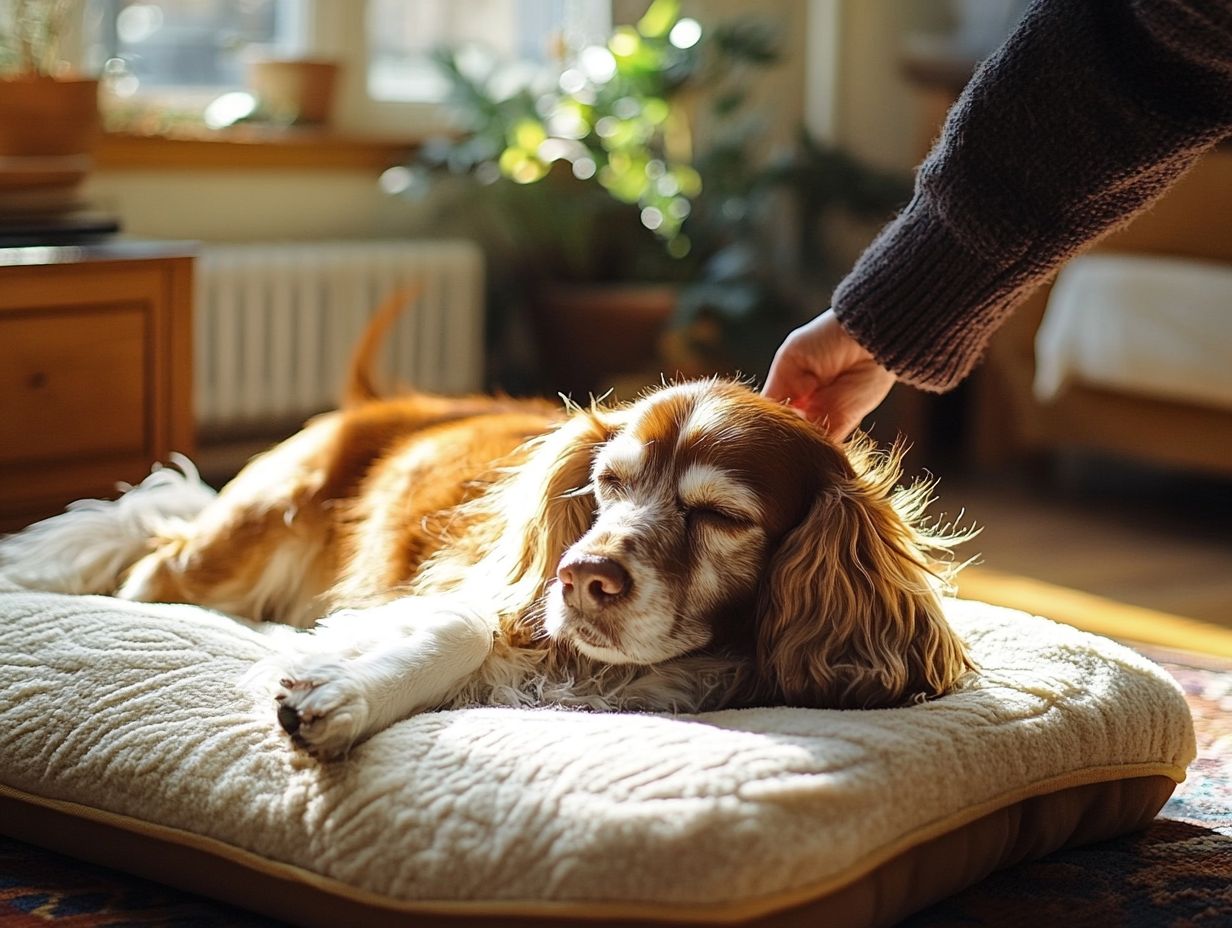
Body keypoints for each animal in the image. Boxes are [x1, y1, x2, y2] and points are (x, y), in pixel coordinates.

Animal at [0, 293, 970, 754]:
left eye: (720, 515)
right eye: (606, 487)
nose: (583, 577)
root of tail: (378, 403)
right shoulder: (482, 590)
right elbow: (459, 629)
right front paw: (341, 694)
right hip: (234, 541)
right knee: (148, 546)